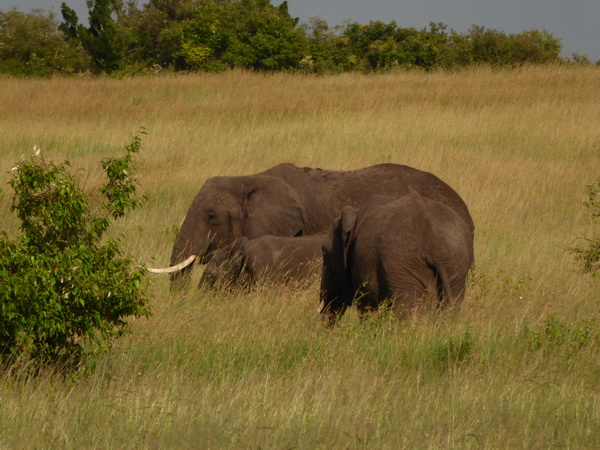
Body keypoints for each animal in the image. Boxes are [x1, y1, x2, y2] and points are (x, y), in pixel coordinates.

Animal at [318, 192, 474, 326]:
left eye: (325, 252)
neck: (356, 212)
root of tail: (435, 244)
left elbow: (366, 305)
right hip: (456, 264)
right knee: (451, 308)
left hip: (401, 264)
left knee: (408, 312)